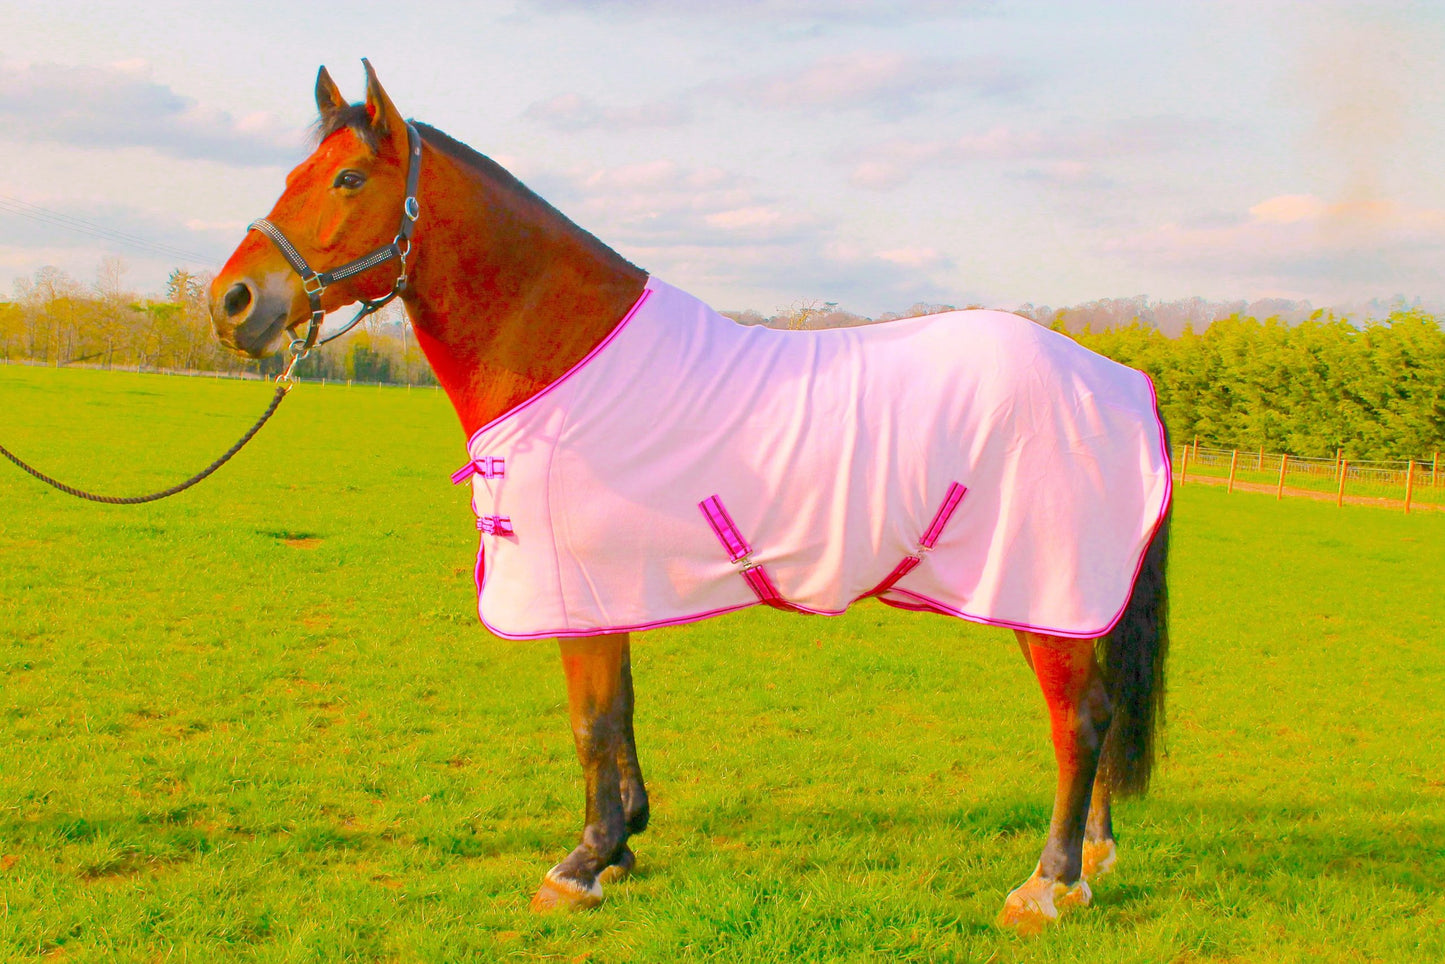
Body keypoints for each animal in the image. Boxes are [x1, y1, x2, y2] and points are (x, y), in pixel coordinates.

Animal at [209, 61, 1171, 933]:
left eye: (347, 179)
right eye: (292, 175)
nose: (234, 302)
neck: (564, 349)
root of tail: (1117, 381)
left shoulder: (573, 590)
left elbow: (590, 720)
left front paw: (582, 864)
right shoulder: (614, 588)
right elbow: (621, 713)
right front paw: (624, 843)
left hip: (1041, 587)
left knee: (1078, 721)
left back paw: (1044, 887)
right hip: (1071, 599)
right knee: (1098, 715)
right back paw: (1090, 861)